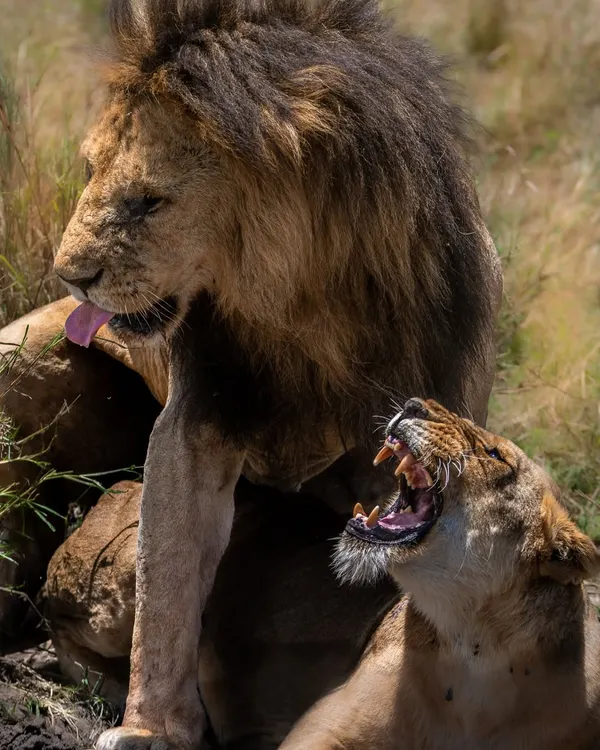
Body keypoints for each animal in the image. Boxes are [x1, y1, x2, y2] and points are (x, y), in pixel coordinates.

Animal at [52, 0, 502, 746]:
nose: (69, 276)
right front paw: (152, 727)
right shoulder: (197, 418)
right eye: (87, 170)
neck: (305, 310)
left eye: (149, 202)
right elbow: (166, 578)